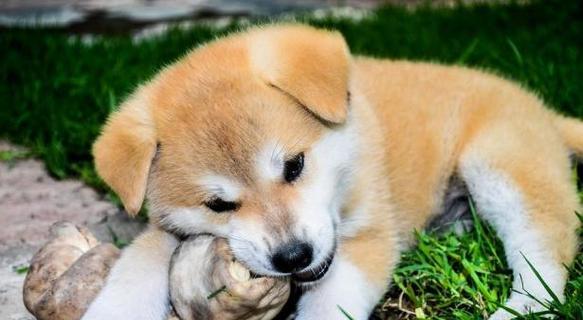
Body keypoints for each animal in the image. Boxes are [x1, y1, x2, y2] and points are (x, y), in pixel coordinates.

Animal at [82, 25, 583, 320]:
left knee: (544, 260)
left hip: (501, 165)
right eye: (218, 204)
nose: (292, 256)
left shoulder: (369, 238)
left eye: (294, 165)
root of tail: (542, 110)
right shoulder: (166, 229)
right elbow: (135, 266)